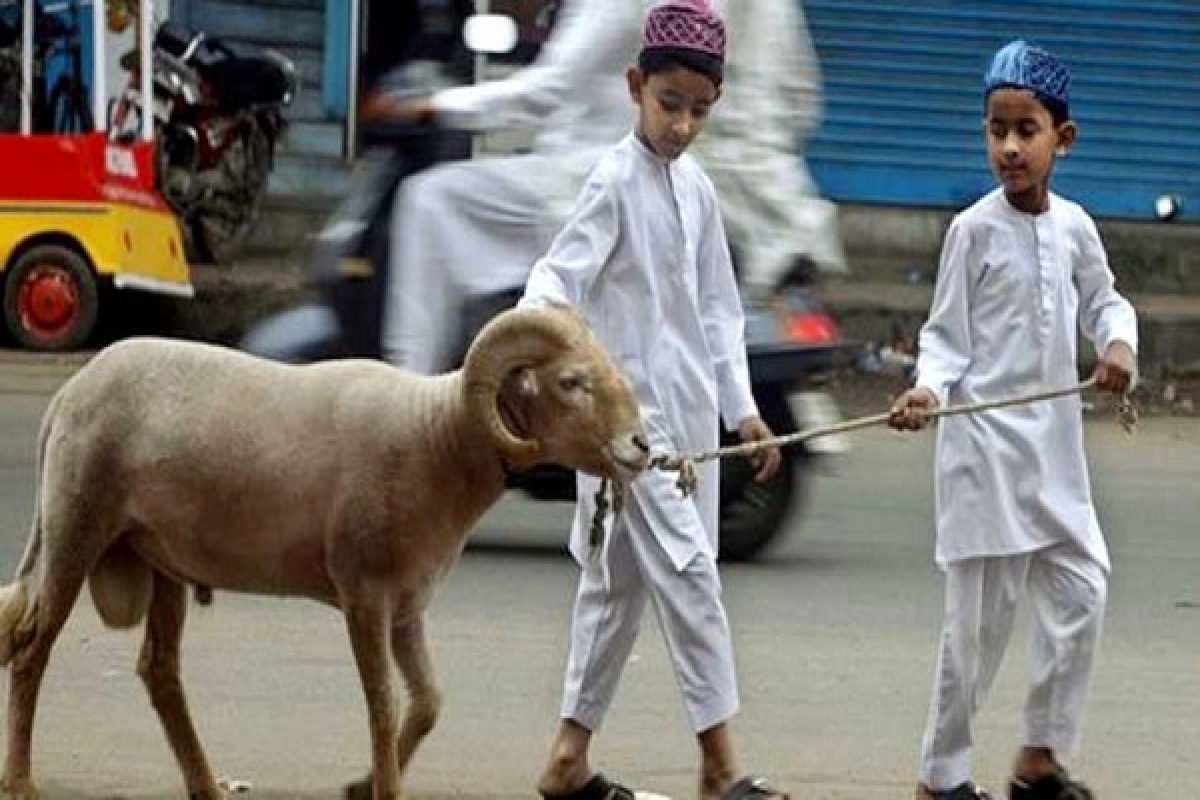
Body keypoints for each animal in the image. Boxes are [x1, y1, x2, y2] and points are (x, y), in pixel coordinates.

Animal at [0, 307, 648, 800]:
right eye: (571, 382)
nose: (641, 446)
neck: (435, 439)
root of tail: (69, 394)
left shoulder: (406, 604)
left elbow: (428, 702)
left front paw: (361, 786)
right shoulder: (363, 593)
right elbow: (383, 704)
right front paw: (384, 790)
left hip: (161, 563)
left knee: (158, 671)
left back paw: (206, 786)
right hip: (76, 529)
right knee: (32, 651)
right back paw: (23, 782)